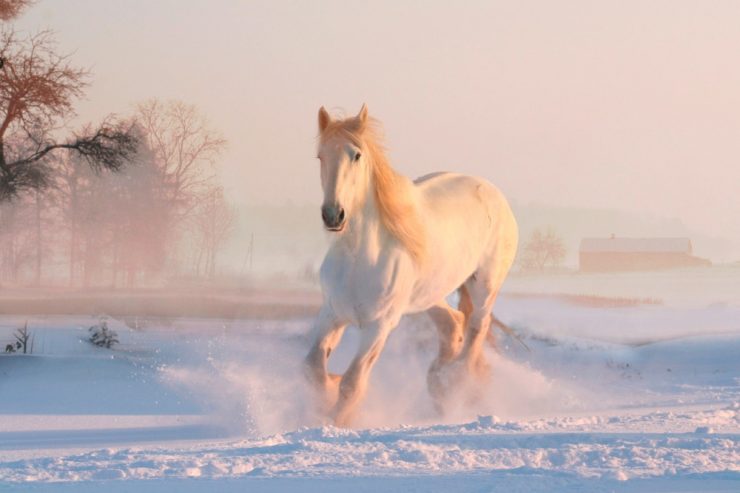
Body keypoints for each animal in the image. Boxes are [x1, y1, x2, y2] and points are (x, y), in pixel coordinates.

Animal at [304, 104, 516, 426]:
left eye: (356, 155)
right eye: (320, 156)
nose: (333, 215)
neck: (358, 259)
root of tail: (493, 192)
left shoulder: (379, 325)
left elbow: (352, 383)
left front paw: (338, 421)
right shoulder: (332, 313)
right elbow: (314, 368)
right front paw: (327, 395)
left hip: (484, 286)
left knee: (476, 330)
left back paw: (456, 384)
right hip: (427, 295)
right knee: (453, 323)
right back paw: (439, 384)